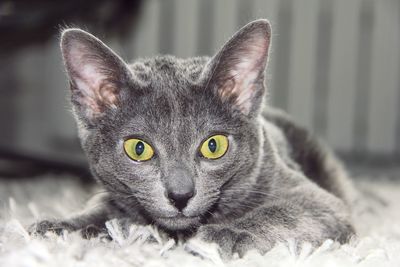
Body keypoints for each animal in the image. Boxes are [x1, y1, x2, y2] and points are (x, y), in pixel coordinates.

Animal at [29, 19, 354, 258]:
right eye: (138, 148)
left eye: (213, 146)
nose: (180, 195)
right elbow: (102, 210)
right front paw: (59, 227)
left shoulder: (318, 200)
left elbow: (282, 212)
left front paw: (225, 234)